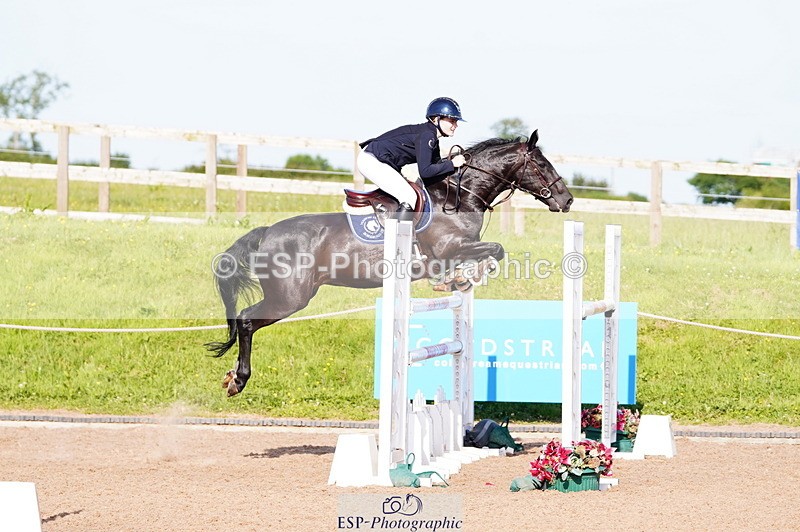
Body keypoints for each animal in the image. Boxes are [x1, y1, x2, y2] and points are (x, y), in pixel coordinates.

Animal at [206, 130, 573, 396]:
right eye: (542, 165)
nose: (567, 200)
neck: (459, 196)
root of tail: (267, 232)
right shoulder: (448, 248)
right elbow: (496, 249)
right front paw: (461, 278)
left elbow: (493, 252)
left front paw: (462, 278)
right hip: (290, 297)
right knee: (246, 320)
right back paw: (238, 380)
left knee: (245, 321)